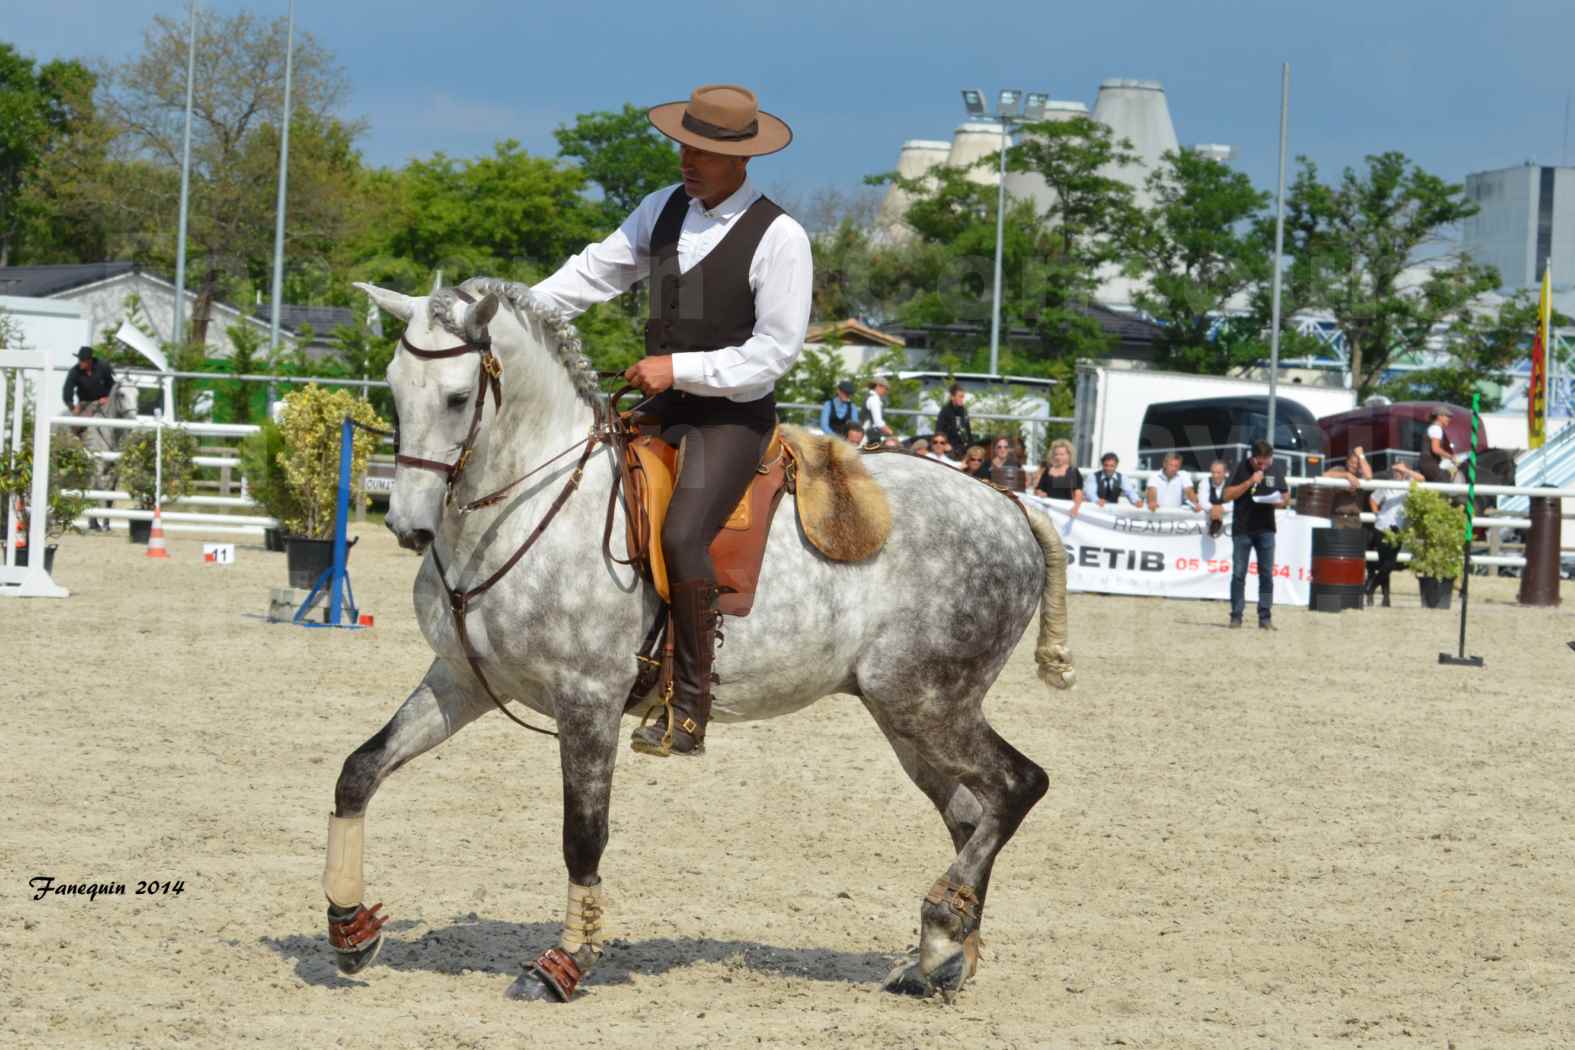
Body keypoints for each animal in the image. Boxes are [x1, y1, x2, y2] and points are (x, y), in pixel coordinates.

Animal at [326, 278, 1077, 1001]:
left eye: (458, 398)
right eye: (393, 386)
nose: (409, 526)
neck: (528, 507)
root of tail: (1009, 504)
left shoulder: (587, 701)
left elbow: (583, 837)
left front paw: (562, 964)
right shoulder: (460, 680)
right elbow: (360, 770)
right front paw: (349, 927)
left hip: (927, 703)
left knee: (1017, 787)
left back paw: (943, 927)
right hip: (903, 715)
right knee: (969, 814)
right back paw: (942, 960)